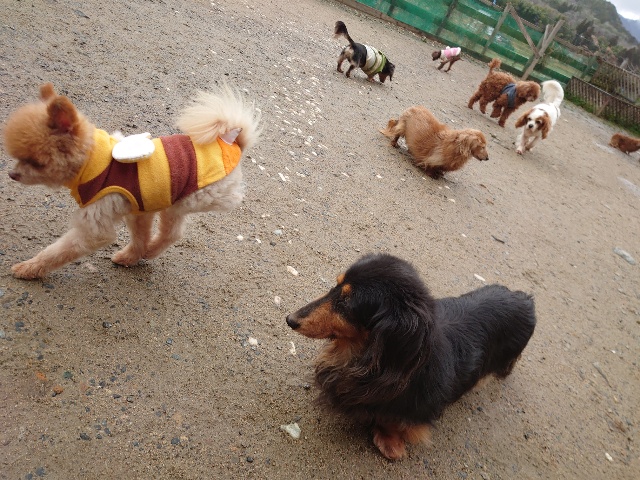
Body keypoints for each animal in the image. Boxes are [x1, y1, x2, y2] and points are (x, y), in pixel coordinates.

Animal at [4, 83, 260, 279]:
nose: (12, 174)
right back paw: (141, 253)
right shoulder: (137, 207)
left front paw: (30, 268)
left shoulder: (95, 225)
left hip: (189, 197)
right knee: (168, 232)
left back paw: (150, 251)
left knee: (173, 232)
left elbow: (59, 251)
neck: (91, 162)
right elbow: (140, 235)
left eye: (35, 162)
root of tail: (232, 142)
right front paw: (132, 256)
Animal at [286, 253, 536, 461]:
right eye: (334, 286)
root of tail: (525, 299)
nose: (290, 319)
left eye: (346, 303)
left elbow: (396, 422)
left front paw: (390, 442)